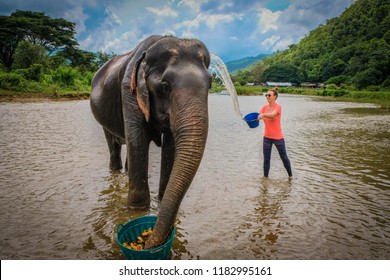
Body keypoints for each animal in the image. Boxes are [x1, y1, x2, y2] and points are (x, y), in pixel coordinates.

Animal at [90, 35, 212, 249]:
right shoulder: (128, 91)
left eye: (211, 84)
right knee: (114, 146)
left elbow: (171, 145)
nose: (148, 244)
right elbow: (138, 140)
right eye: (165, 86)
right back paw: (115, 170)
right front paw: (137, 211)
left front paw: (161, 200)